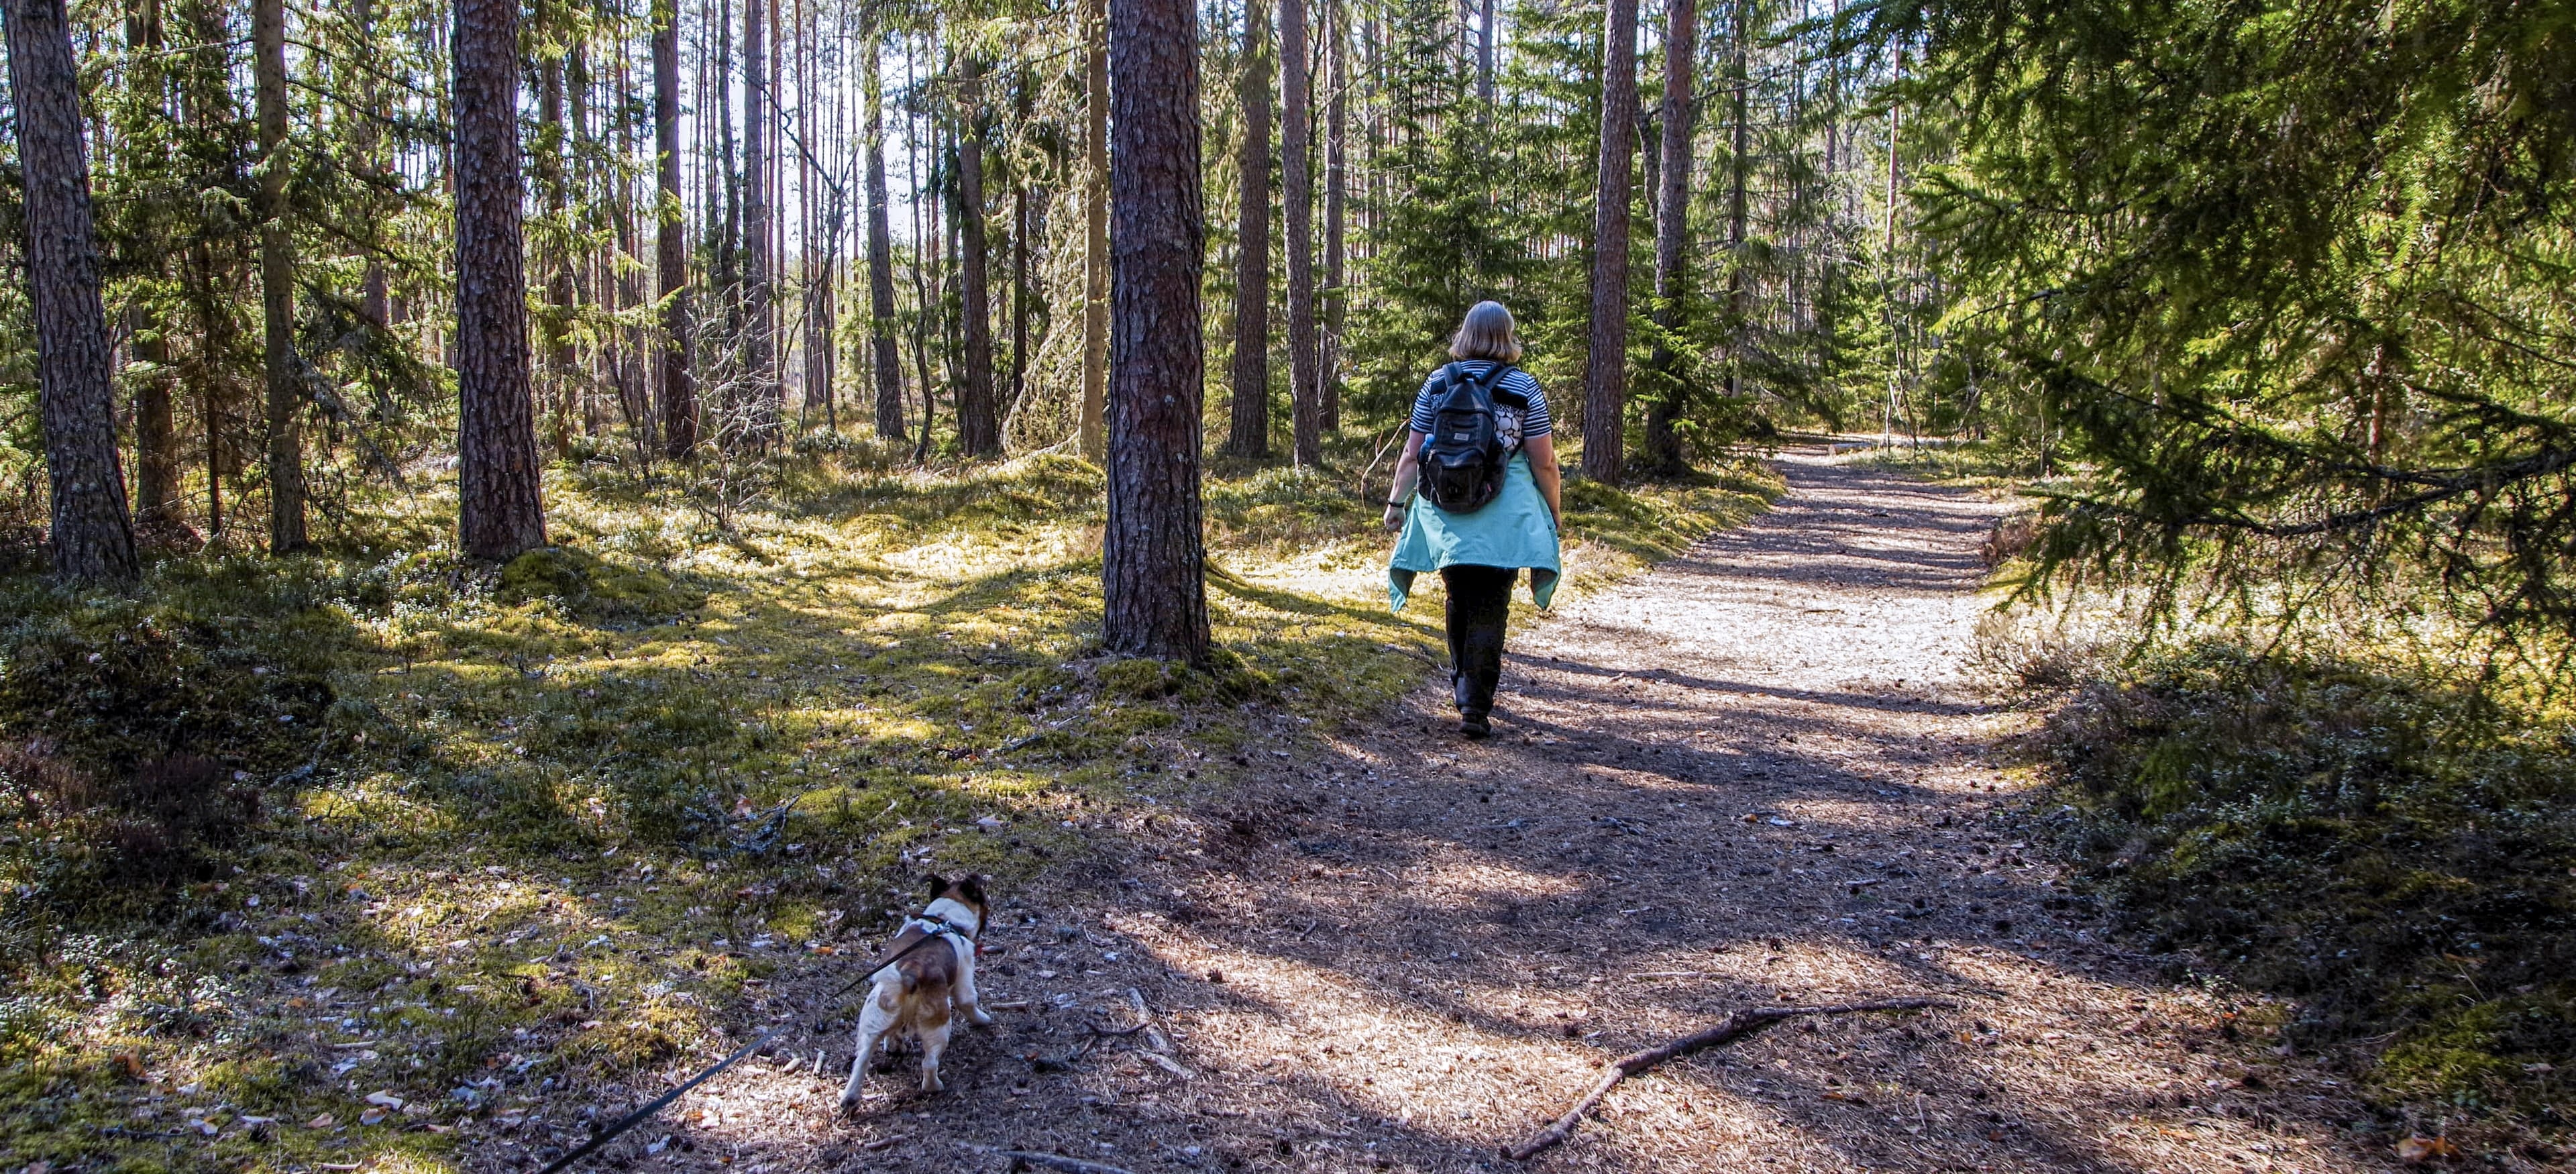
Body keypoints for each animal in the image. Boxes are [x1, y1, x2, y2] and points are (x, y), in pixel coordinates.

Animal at [839, 870, 989, 1112]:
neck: (944, 917)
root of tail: (909, 975)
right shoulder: (965, 977)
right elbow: (968, 1002)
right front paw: (982, 1020)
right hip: (938, 1026)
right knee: (929, 1063)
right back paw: (933, 1086)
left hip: (873, 1019)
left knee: (861, 1060)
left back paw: (851, 1096)